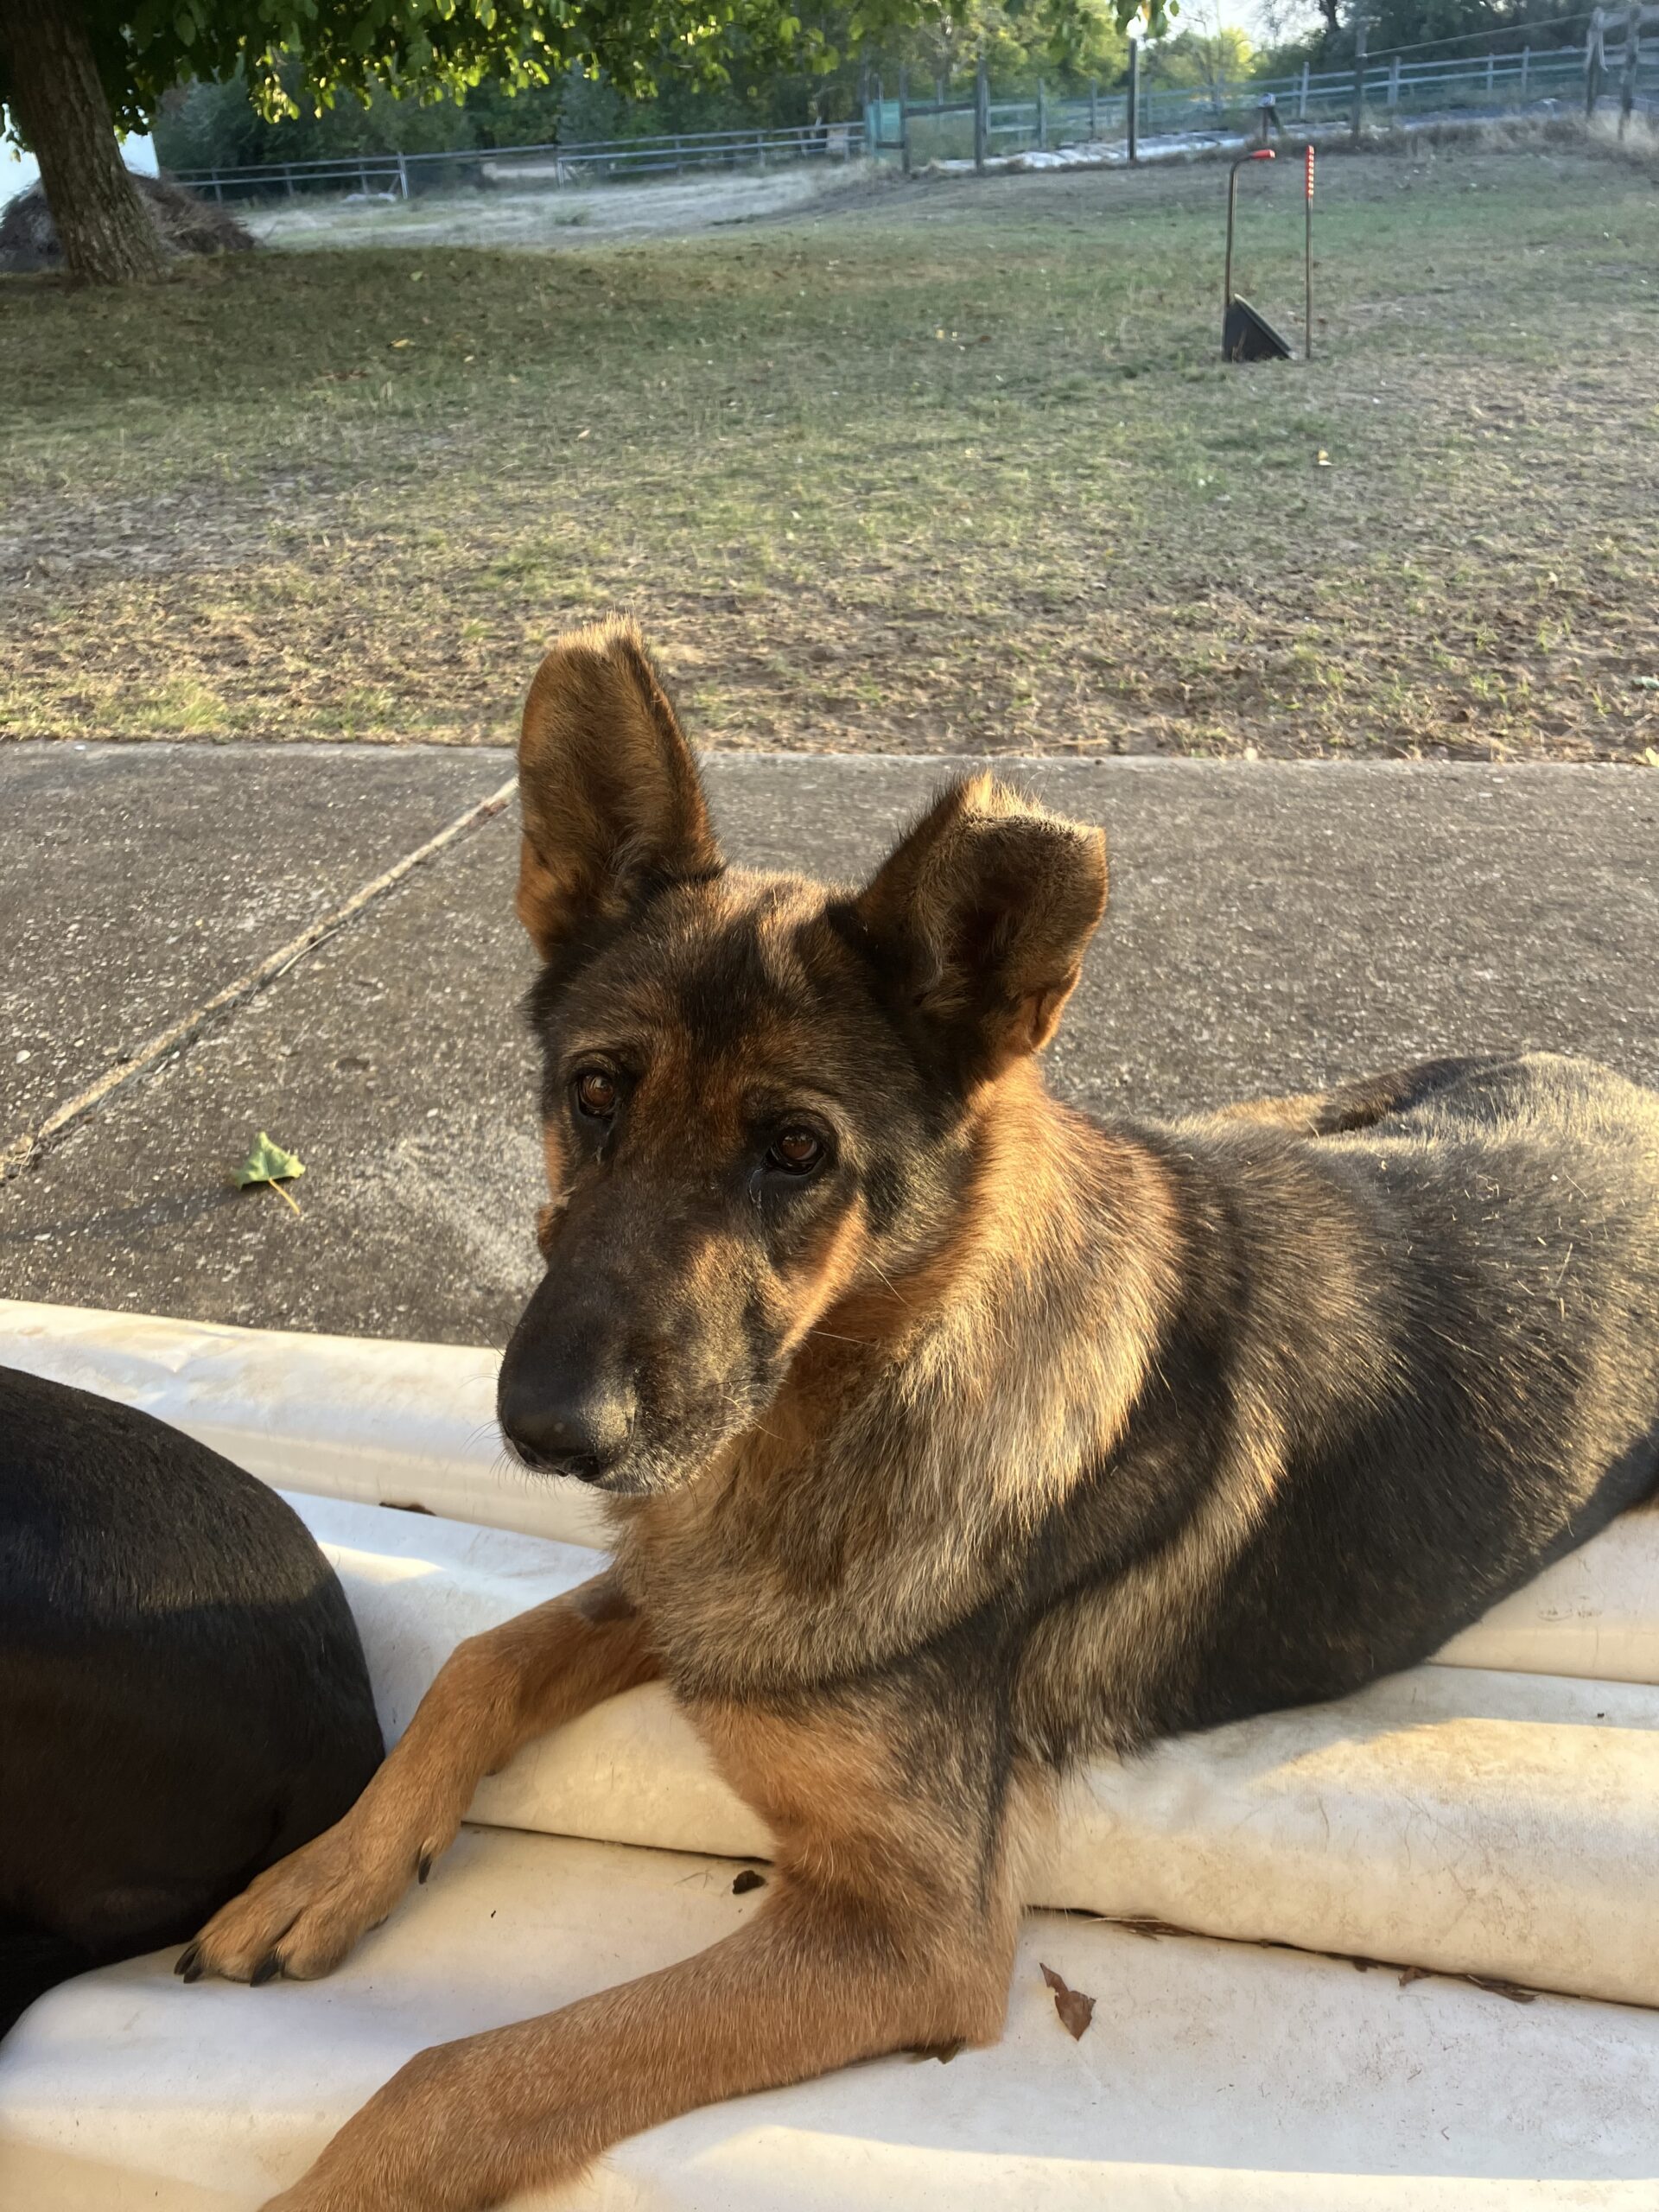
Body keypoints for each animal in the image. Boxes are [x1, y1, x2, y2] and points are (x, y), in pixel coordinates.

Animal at [182, 619, 1659, 2212]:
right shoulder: (696, 1586)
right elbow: (482, 1660)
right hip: (1275, 1118)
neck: (879, 1375)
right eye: (593, 1093)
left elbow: (463, 2074)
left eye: (794, 1148)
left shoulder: (905, 1934)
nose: (547, 1432)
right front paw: (323, 1874)